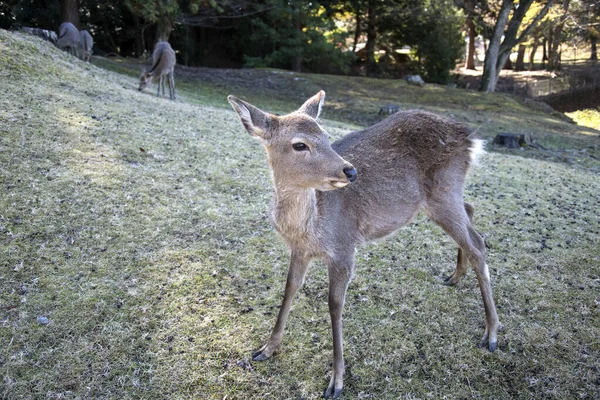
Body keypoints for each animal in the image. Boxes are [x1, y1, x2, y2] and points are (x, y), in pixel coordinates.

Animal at [227, 91, 500, 400]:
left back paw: (491, 334)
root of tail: (469, 137)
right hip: (443, 198)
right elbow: (289, 288)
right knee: (471, 211)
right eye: (299, 144)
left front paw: (336, 381)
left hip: (444, 191)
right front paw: (266, 348)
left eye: (327, 136)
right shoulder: (299, 250)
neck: (311, 228)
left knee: (478, 243)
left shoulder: (344, 247)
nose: (350, 171)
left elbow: (335, 304)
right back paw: (455, 275)